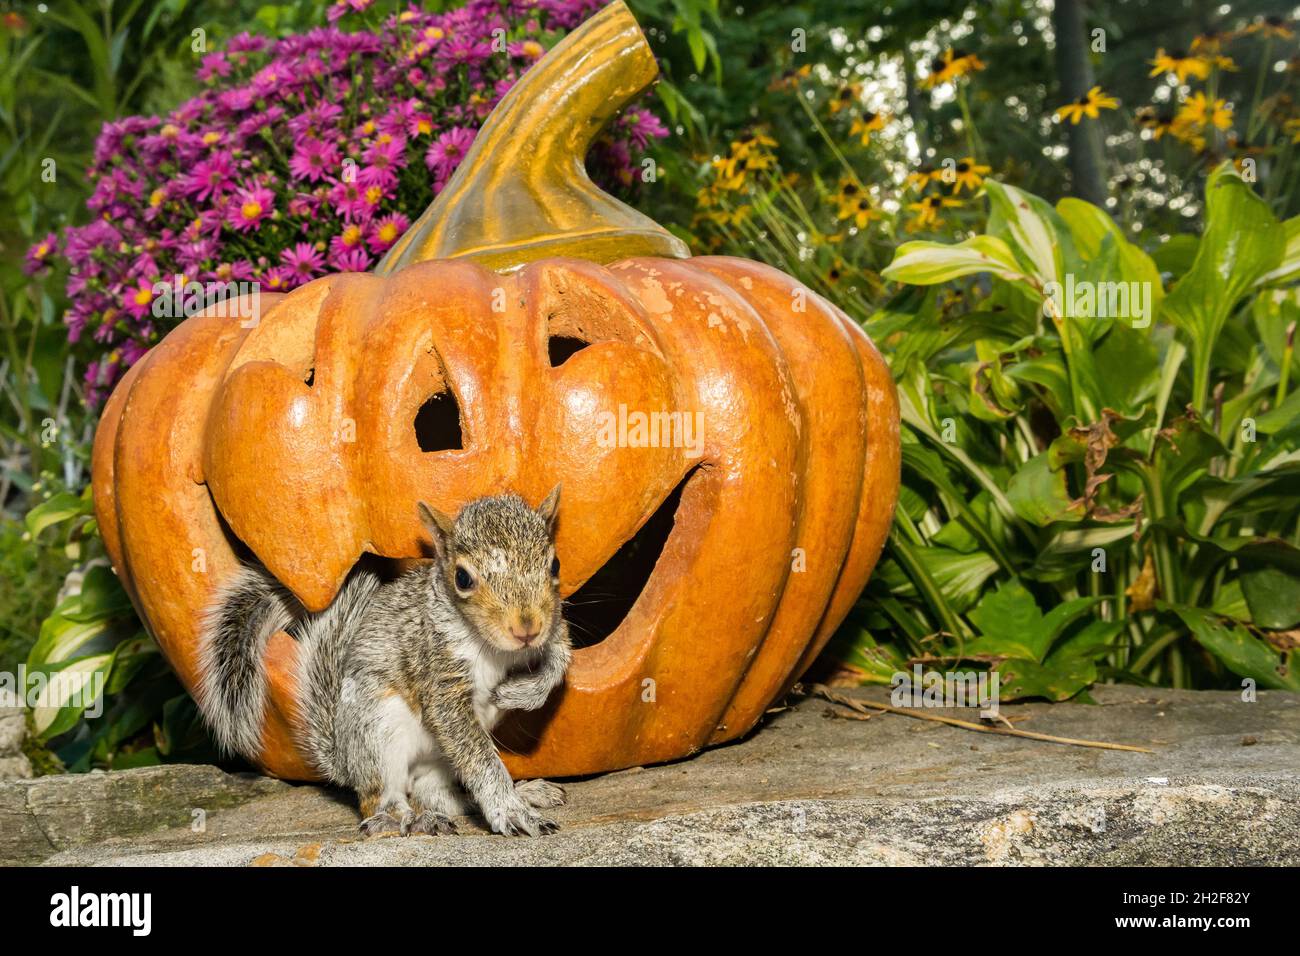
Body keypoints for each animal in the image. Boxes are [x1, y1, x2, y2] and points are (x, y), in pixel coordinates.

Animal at [195, 489, 572, 842]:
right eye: (463, 578)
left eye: (555, 565)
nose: (526, 628)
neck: (495, 648)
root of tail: (346, 761)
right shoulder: (435, 666)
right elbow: (474, 752)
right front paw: (510, 811)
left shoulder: (553, 629)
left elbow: (559, 660)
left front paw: (519, 693)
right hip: (379, 732)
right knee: (381, 799)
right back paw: (406, 819)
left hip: (435, 761)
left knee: (430, 792)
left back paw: (521, 791)